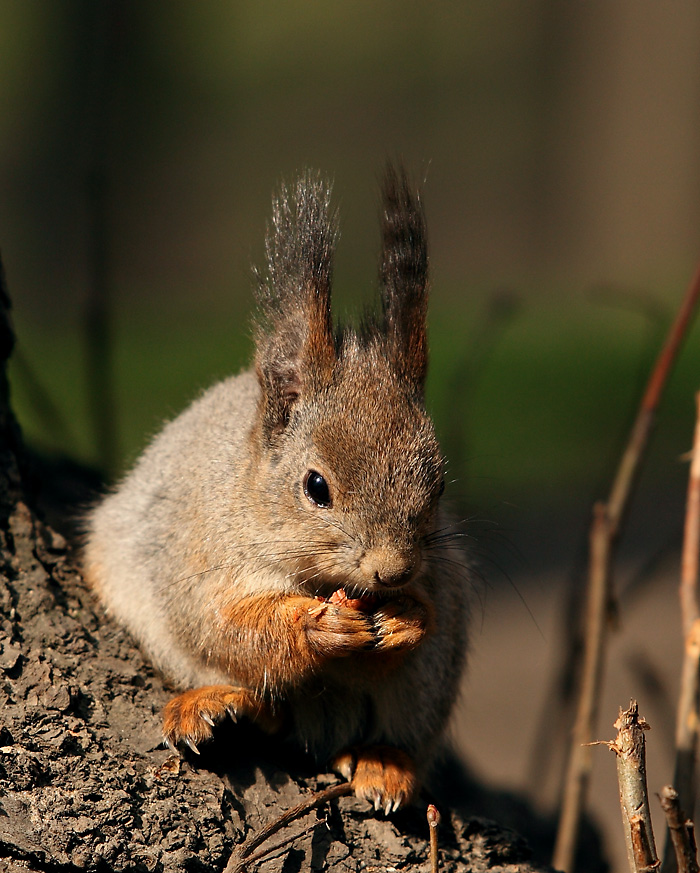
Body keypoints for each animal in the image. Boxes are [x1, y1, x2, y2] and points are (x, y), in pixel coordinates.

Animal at [85, 164, 474, 812]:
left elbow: (418, 628)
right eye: (315, 486)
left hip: (429, 685)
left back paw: (384, 760)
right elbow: (228, 627)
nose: (392, 571)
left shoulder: (439, 584)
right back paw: (219, 709)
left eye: (439, 484)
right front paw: (318, 626)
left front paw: (404, 622)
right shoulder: (198, 555)